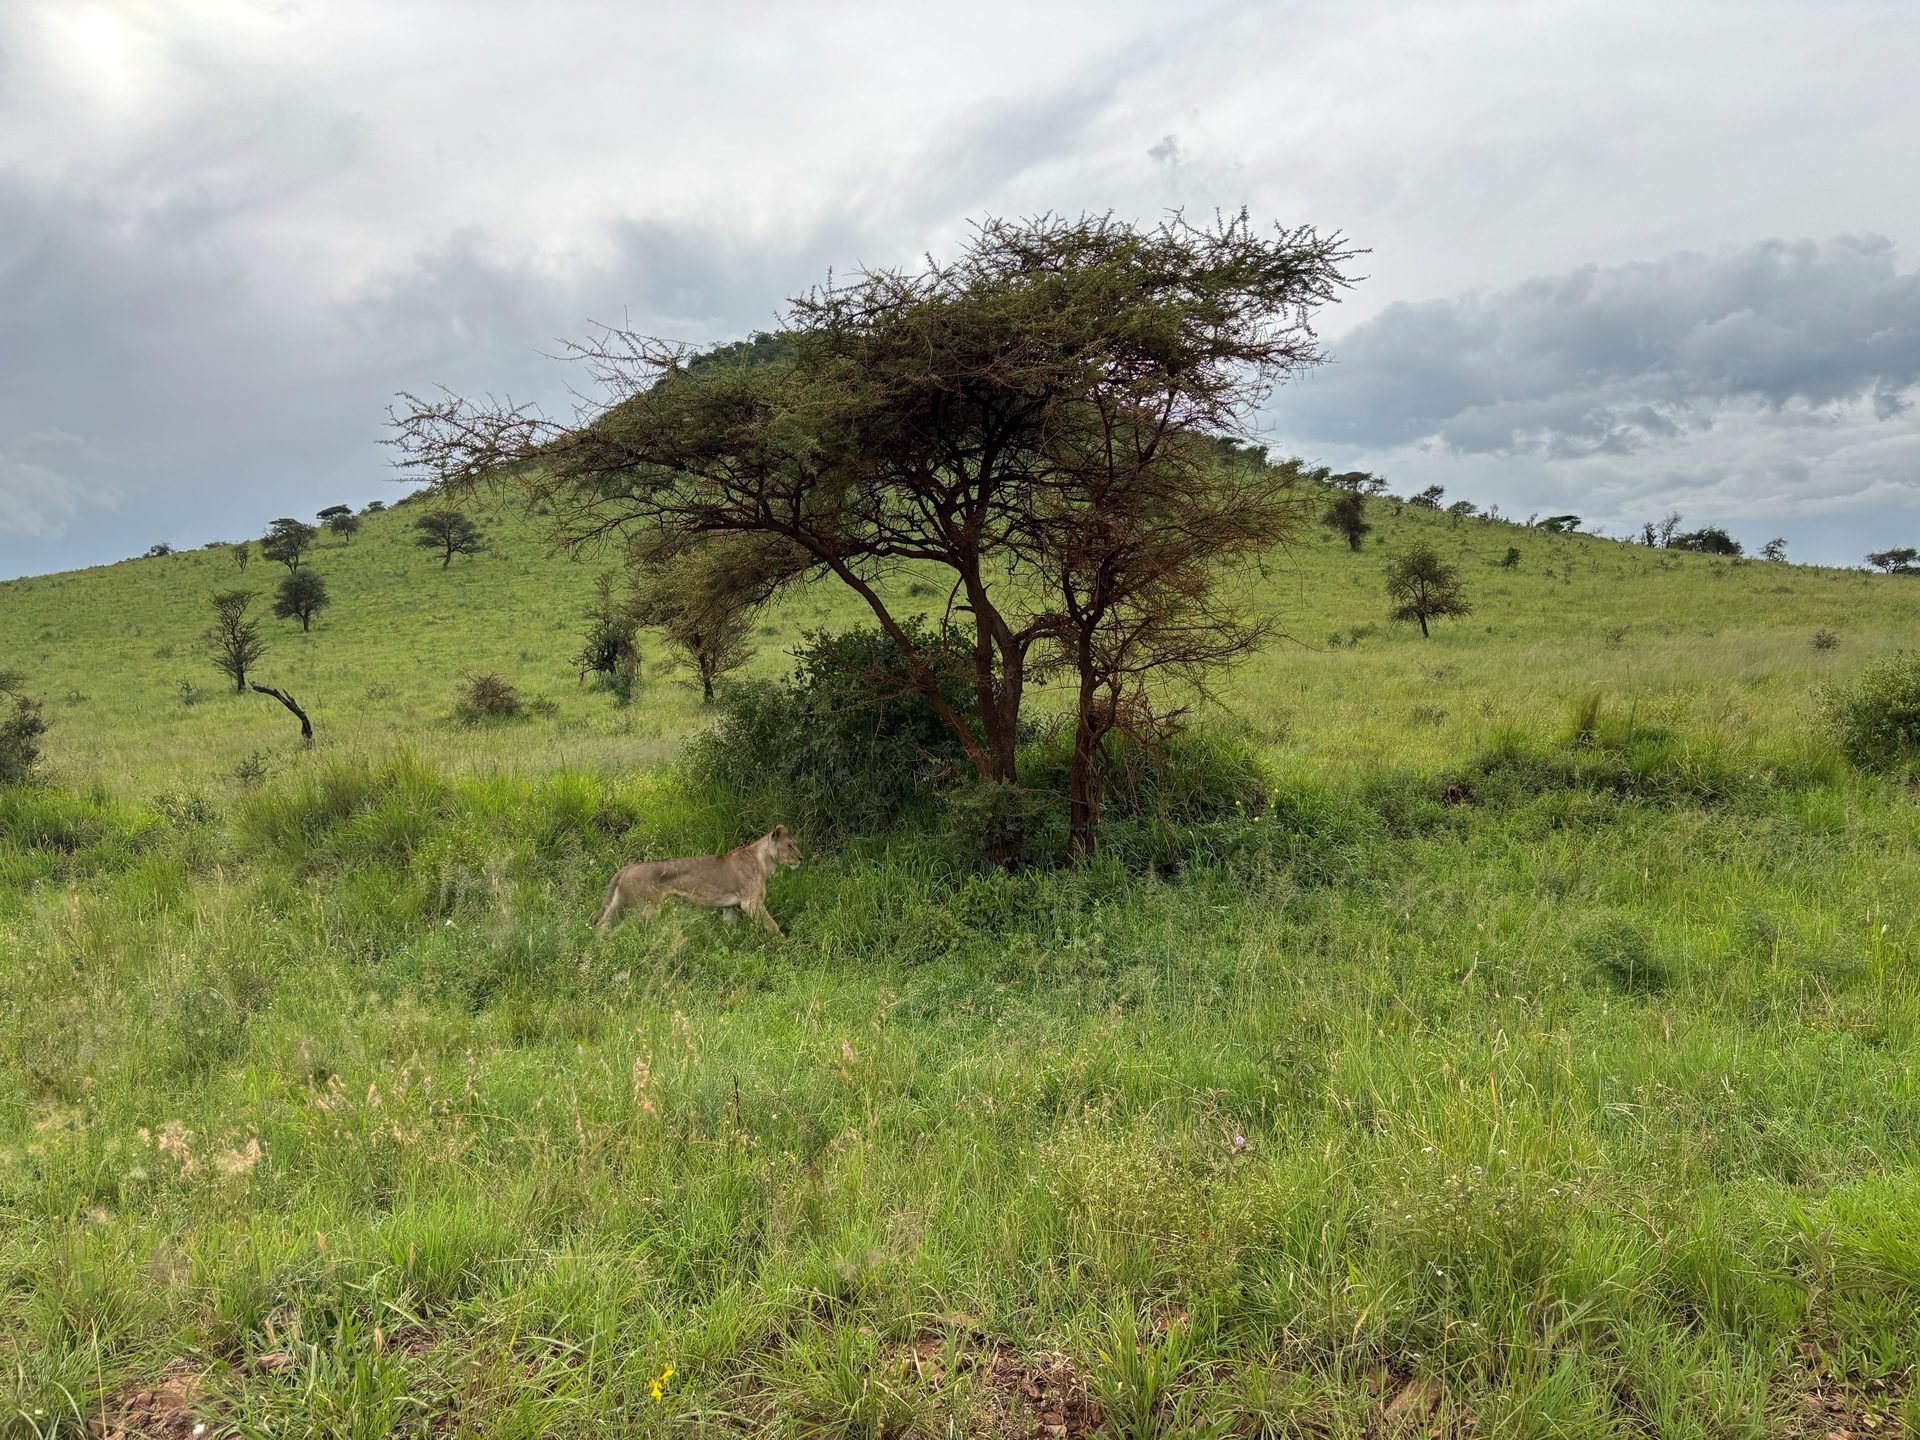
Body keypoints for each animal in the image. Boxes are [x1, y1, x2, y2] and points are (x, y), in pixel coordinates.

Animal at [593, 825, 802, 935]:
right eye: (790, 845)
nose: (801, 858)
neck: (765, 861)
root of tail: (626, 868)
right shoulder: (751, 902)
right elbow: (771, 925)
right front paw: (782, 941)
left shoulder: (730, 906)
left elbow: (730, 928)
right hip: (645, 907)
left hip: (621, 904)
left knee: (603, 925)